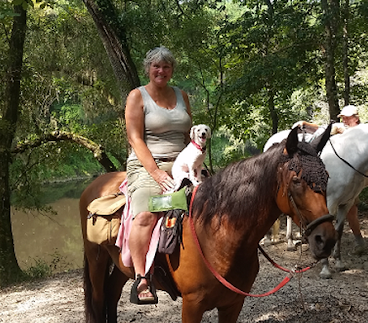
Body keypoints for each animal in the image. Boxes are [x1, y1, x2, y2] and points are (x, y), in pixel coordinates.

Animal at [80, 126, 336, 323]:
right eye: (296, 180)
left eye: (327, 177)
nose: (326, 240)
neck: (217, 234)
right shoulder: (192, 305)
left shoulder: (233, 304)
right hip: (96, 259)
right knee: (99, 299)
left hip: (121, 263)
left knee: (112, 294)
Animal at [264, 123, 366, 280]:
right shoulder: (330, 203)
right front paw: (325, 267)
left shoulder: (346, 204)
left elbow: (338, 231)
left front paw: (338, 262)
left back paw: (290, 242)